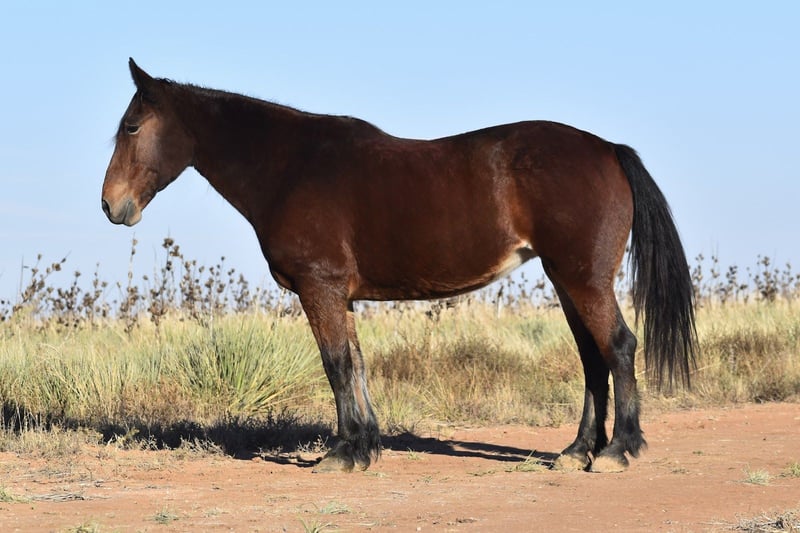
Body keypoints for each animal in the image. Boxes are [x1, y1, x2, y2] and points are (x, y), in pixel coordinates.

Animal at [102, 59, 696, 473]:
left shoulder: (319, 288)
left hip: (582, 278)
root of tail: (607, 149)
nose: (111, 205)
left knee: (618, 346)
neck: (291, 167)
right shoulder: (339, 295)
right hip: (567, 279)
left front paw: (342, 453)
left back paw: (619, 450)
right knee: (593, 359)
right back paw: (575, 451)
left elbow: (336, 366)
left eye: (131, 126)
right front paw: (365, 447)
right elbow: (357, 367)